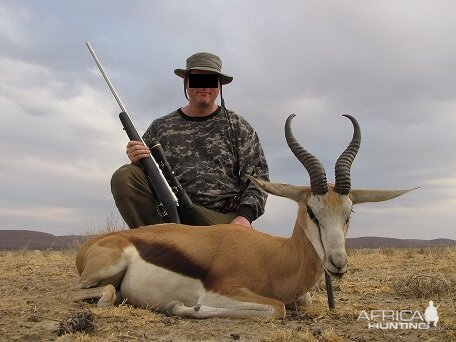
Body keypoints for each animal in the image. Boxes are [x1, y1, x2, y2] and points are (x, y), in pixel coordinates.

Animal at [73, 114, 416, 318]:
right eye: (311, 211)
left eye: (349, 213)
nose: (338, 263)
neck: (275, 258)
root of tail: (91, 244)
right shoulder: (224, 291)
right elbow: (276, 308)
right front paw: (180, 306)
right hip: (103, 271)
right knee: (92, 291)